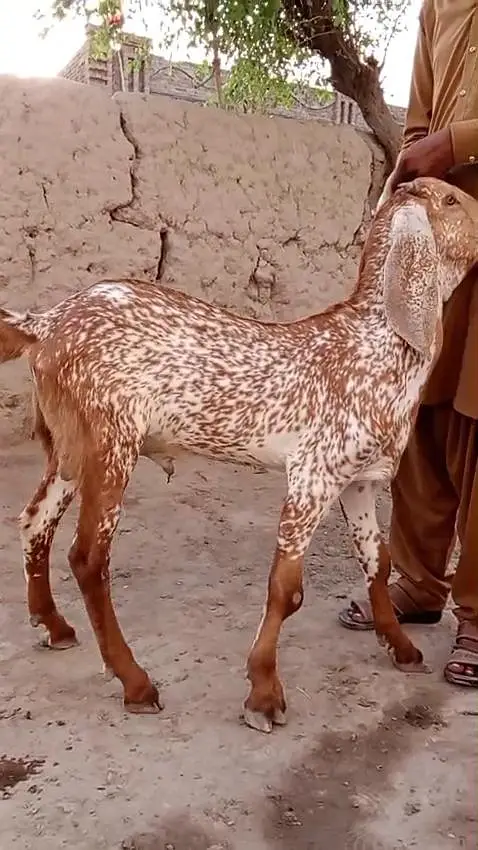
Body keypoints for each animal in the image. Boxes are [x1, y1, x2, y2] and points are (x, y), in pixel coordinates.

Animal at [1, 177, 478, 734]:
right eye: (452, 199)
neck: (376, 345)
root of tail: (46, 323)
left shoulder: (359, 479)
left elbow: (376, 563)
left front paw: (400, 647)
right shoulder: (312, 475)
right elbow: (286, 589)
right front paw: (264, 693)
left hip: (71, 445)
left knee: (35, 521)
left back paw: (53, 625)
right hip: (111, 441)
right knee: (88, 558)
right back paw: (136, 682)